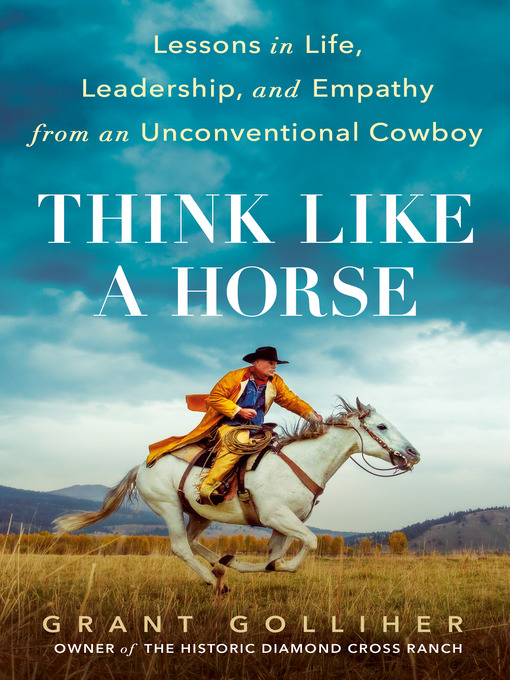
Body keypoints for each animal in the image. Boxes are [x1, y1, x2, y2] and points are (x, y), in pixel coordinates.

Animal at [54, 399, 419, 592]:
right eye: (382, 426)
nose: (413, 453)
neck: (302, 463)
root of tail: (141, 466)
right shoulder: (277, 517)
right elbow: (310, 544)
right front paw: (273, 566)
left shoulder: (282, 525)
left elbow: (273, 559)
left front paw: (248, 564)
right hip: (168, 507)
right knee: (180, 548)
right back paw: (213, 580)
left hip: (200, 514)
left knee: (193, 542)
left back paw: (221, 565)